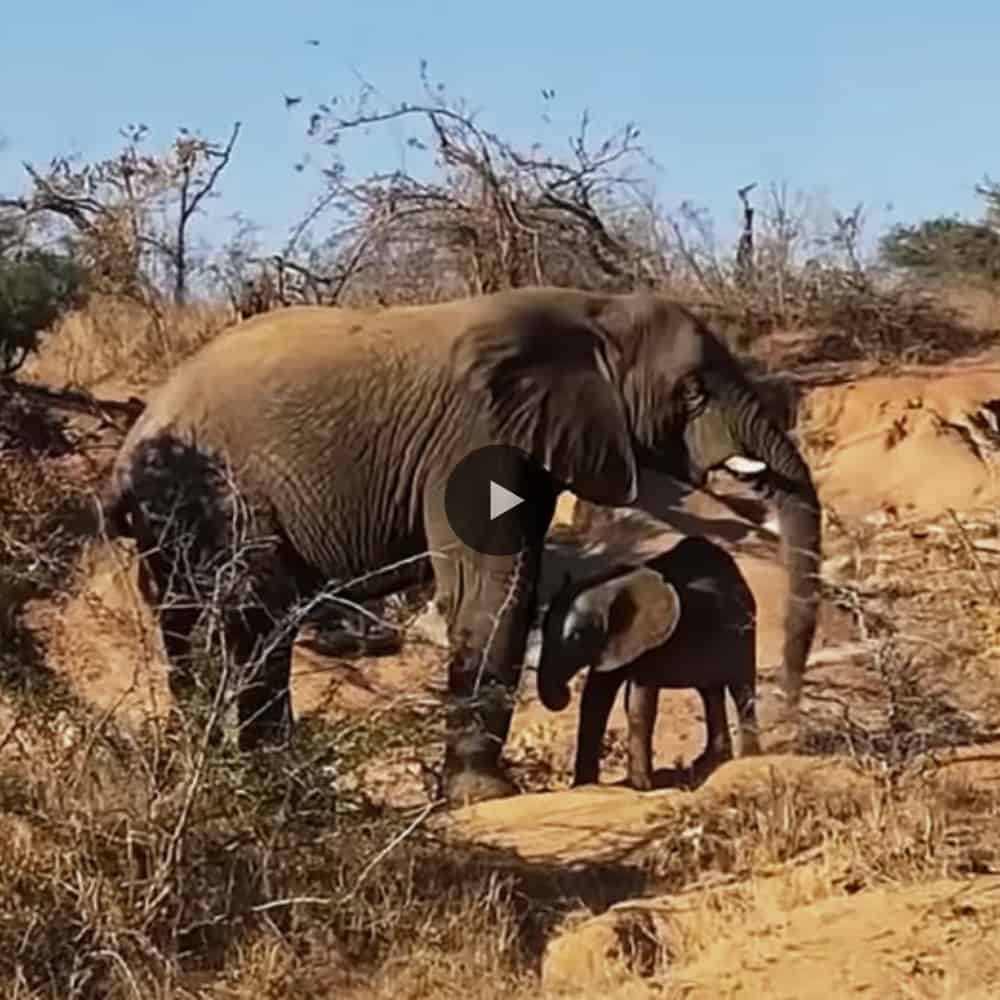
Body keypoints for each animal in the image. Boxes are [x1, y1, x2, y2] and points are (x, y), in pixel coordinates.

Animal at [536, 536, 761, 790]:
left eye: (576, 637)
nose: (565, 692)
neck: (611, 586)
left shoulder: (651, 642)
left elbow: (638, 703)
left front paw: (640, 787)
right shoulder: (613, 642)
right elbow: (595, 700)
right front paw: (584, 787)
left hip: (744, 632)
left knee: (742, 690)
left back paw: (747, 758)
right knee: (711, 693)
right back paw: (709, 763)